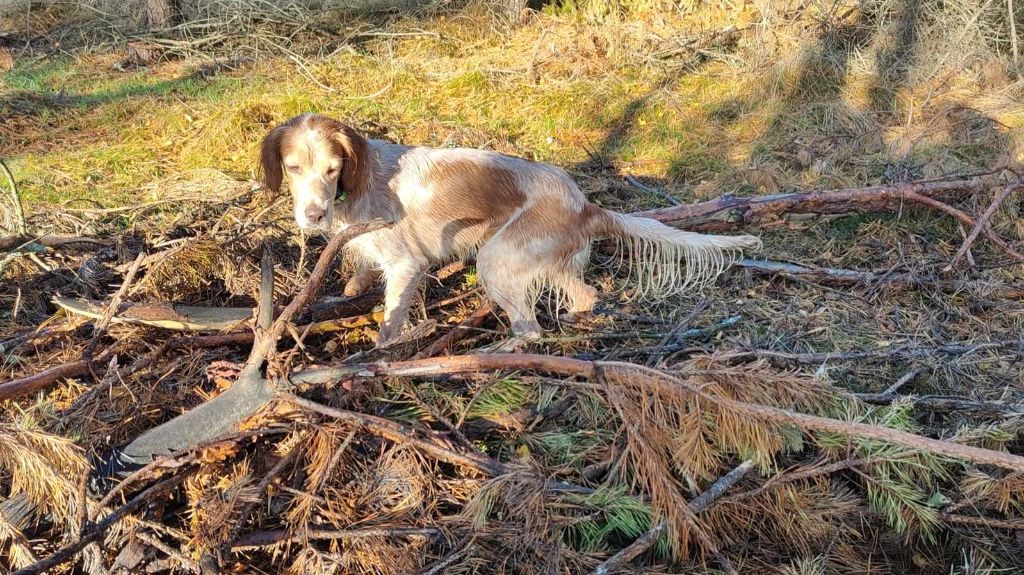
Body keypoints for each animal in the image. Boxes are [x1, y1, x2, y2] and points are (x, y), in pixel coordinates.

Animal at [264, 112, 761, 343]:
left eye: (333, 169)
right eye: (292, 167)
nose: (314, 217)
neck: (361, 182)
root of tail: (587, 205)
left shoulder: (406, 266)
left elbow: (390, 319)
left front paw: (379, 353)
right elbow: (360, 273)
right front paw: (350, 290)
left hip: (496, 261)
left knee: (530, 329)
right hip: (545, 262)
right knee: (585, 296)